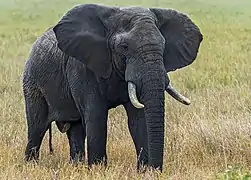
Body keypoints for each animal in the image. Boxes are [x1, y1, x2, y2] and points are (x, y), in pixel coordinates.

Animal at [22, 3, 202, 171]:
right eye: (124, 47)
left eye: (163, 45)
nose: (156, 169)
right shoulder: (82, 67)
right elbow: (96, 115)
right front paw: (98, 170)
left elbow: (139, 119)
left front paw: (144, 172)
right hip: (32, 83)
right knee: (37, 128)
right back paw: (31, 166)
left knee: (75, 130)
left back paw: (76, 166)